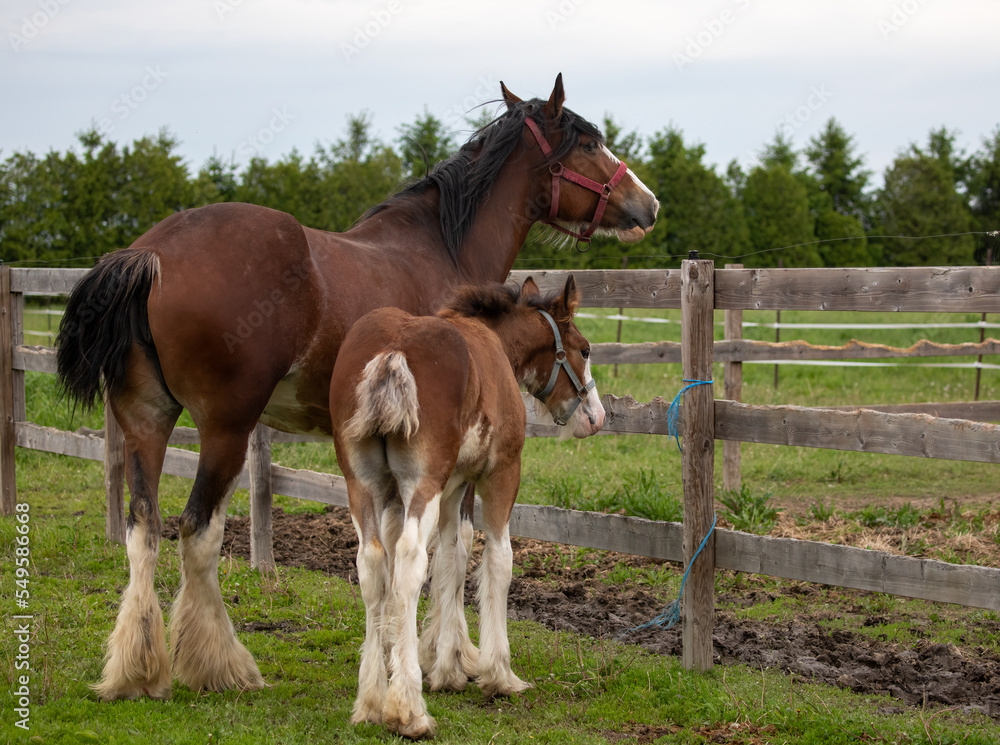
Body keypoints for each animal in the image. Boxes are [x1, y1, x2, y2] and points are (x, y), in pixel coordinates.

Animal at [330, 275, 602, 738]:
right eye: (583, 350)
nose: (597, 417)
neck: (495, 345)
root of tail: (391, 353)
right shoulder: (501, 474)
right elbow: (497, 560)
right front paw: (497, 672)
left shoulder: (453, 487)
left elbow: (451, 559)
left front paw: (447, 665)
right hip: (422, 484)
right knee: (408, 562)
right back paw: (408, 710)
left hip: (363, 485)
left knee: (373, 564)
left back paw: (370, 702)